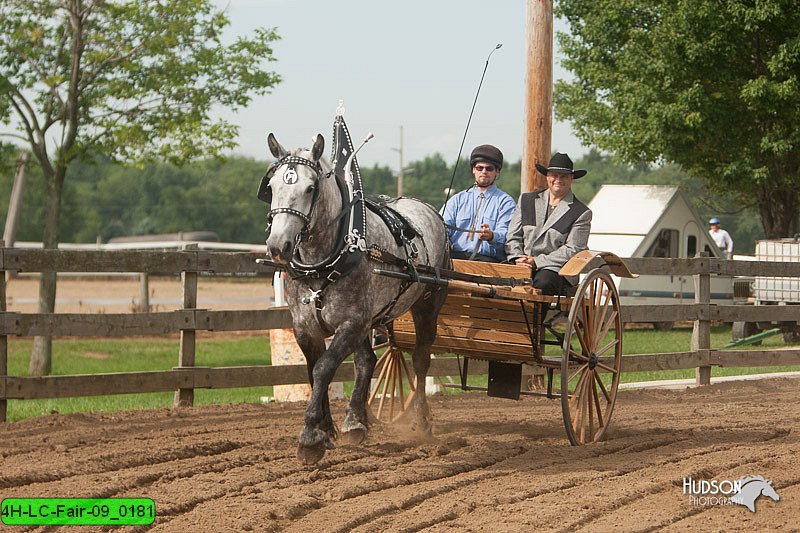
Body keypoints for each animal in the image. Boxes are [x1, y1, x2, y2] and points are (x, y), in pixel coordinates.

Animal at [262, 131, 450, 464]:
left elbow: (324, 368)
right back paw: (356, 421)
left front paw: (310, 437)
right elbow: (313, 372)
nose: (278, 245)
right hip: (369, 319)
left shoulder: (350, 323)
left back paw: (421, 420)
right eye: (271, 187)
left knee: (419, 360)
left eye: (310, 188)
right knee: (367, 361)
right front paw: (326, 429)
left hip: (427, 304)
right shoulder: (305, 328)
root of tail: (428, 210)